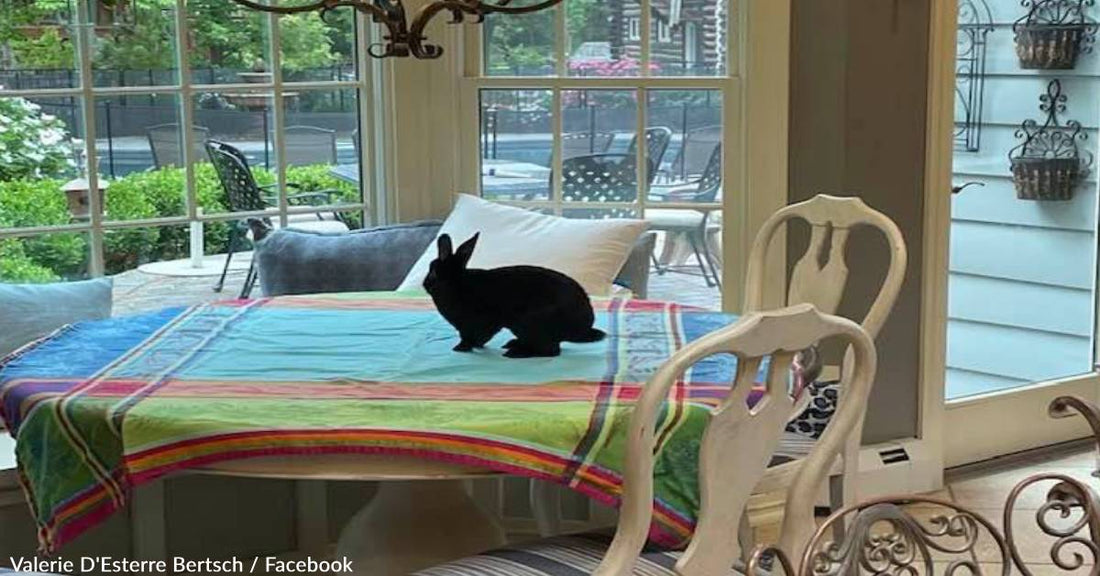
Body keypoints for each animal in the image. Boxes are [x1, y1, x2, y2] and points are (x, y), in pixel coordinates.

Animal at [423, 233, 606, 358]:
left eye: (432, 272)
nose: (425, 284)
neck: (456, 283)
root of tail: (583, 328)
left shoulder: (478, 323)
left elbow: (472, 336)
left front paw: (460, 348)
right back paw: (512, 345)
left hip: (530, 322)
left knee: (551, 350)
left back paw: (515, 353)